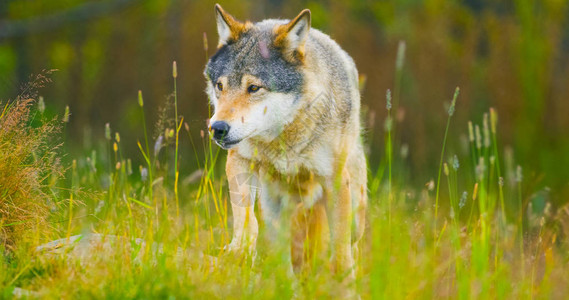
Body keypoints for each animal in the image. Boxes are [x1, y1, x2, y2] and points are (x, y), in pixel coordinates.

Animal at [204, 4, 368, 282]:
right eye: (220, 86)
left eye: (253, 88)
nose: (217, 129)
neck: (283, 140)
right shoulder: (239, 161)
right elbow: (246, 220)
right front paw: (239, 251)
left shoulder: (335, 181)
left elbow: (340, 245)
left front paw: (344, 279)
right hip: (275, 210)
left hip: (355, 207)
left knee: (351, 243)